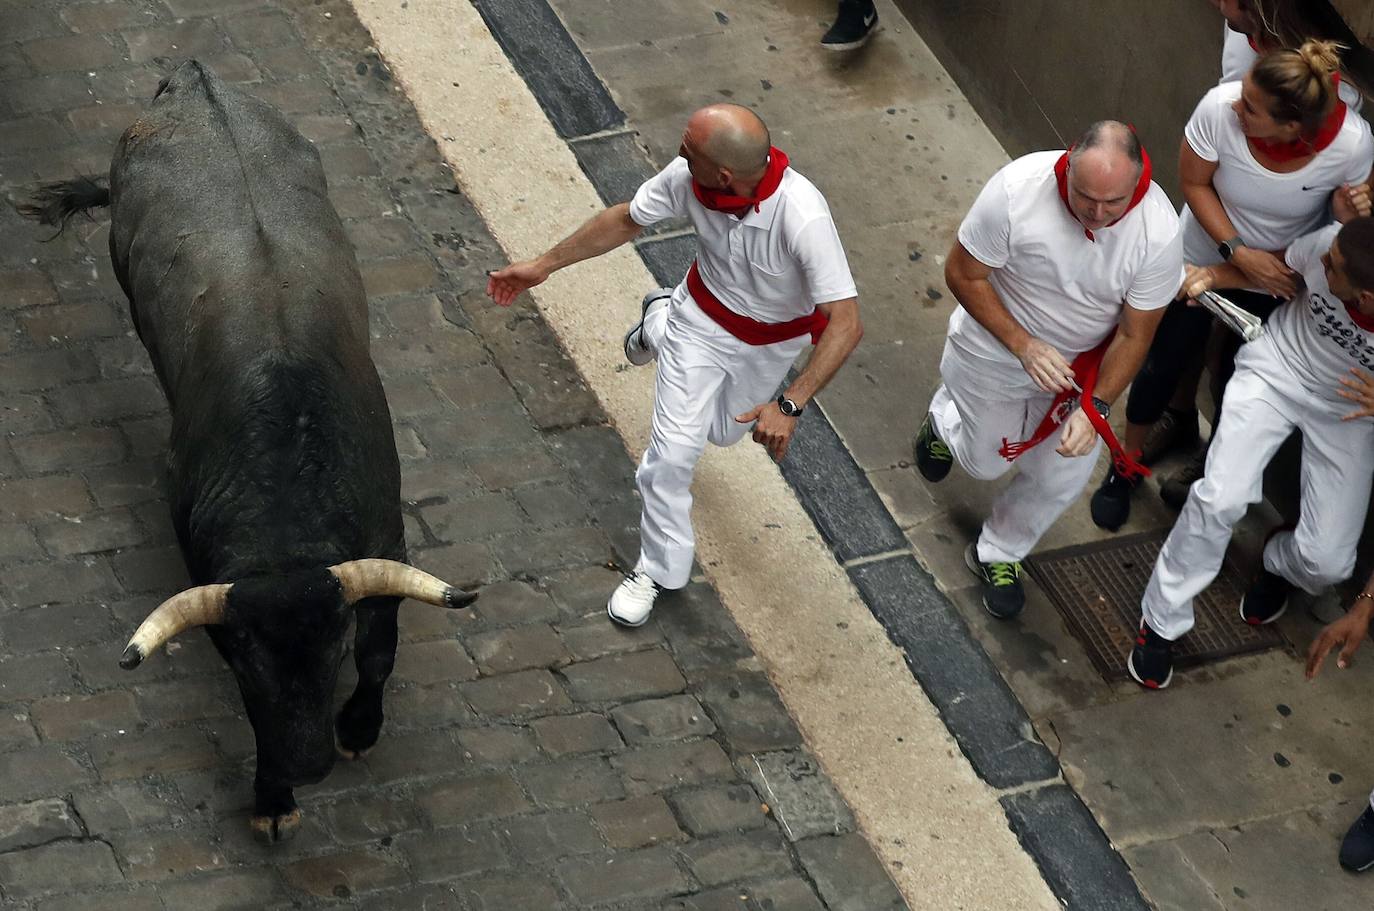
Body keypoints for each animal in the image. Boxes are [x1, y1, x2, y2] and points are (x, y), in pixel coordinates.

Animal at [21, 60, 480, 846]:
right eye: (250, 668)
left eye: (332, 649)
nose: (308, 765)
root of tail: (194, 80)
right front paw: (272, 797)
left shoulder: (384, 537)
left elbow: (380, 649)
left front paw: (360, 725)